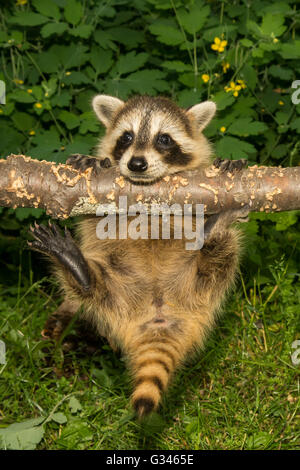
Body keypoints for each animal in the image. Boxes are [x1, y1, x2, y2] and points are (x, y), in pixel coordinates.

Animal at [28, 93, 248, 416]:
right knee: (93, 290)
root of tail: (157, 312)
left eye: (164, 139)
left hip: (202, 288)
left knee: (224, 254)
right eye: (127, 137)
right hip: (115, 288)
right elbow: (93, 220)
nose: (136, 163)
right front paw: (94, 161)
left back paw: (215, 231)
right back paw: (78, 270)